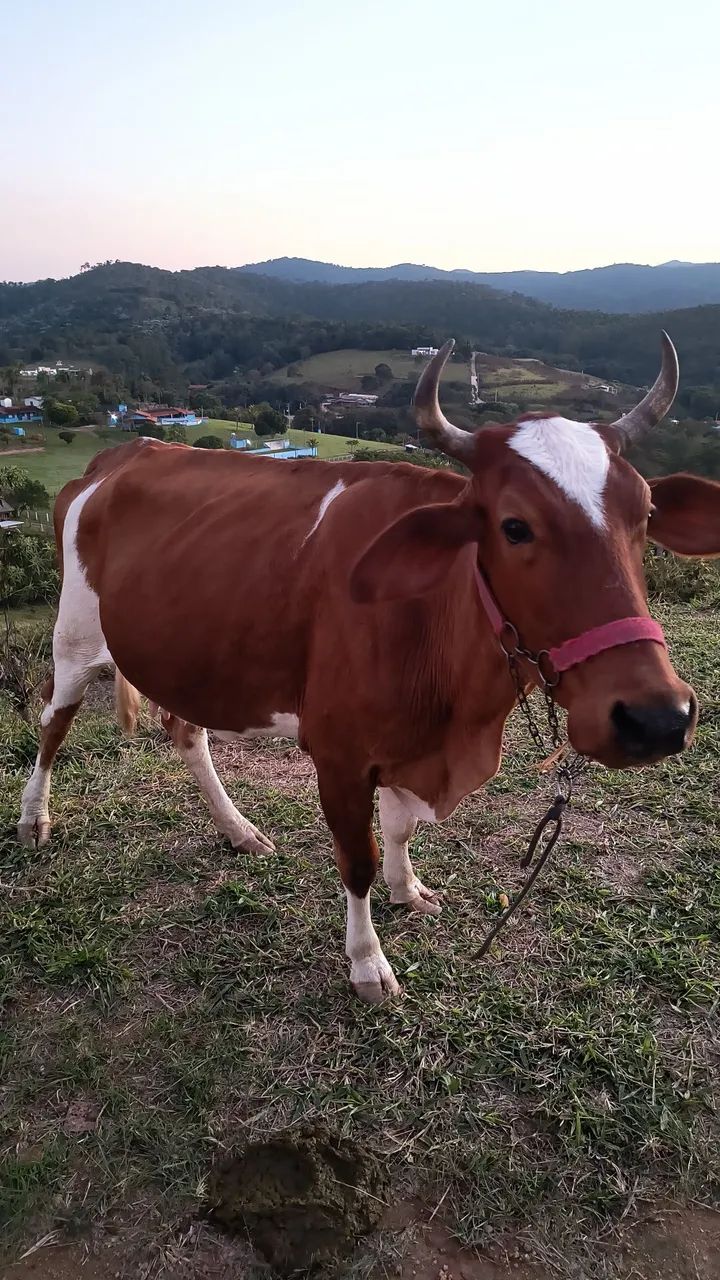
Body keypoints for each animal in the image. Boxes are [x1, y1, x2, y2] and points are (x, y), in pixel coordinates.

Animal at [18, 337, 720, 1002]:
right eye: (514, 526)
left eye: (646, 514)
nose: (656, 717)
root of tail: (123, 454)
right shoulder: (338, 753)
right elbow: (359, 858)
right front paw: (367, 964)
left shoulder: (410, 742)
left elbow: (401, 828)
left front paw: (408, 888)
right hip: (75, 635)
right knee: (54, 717)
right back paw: (34, 819)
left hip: (188, 654)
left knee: (185, 731)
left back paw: (237, 829)